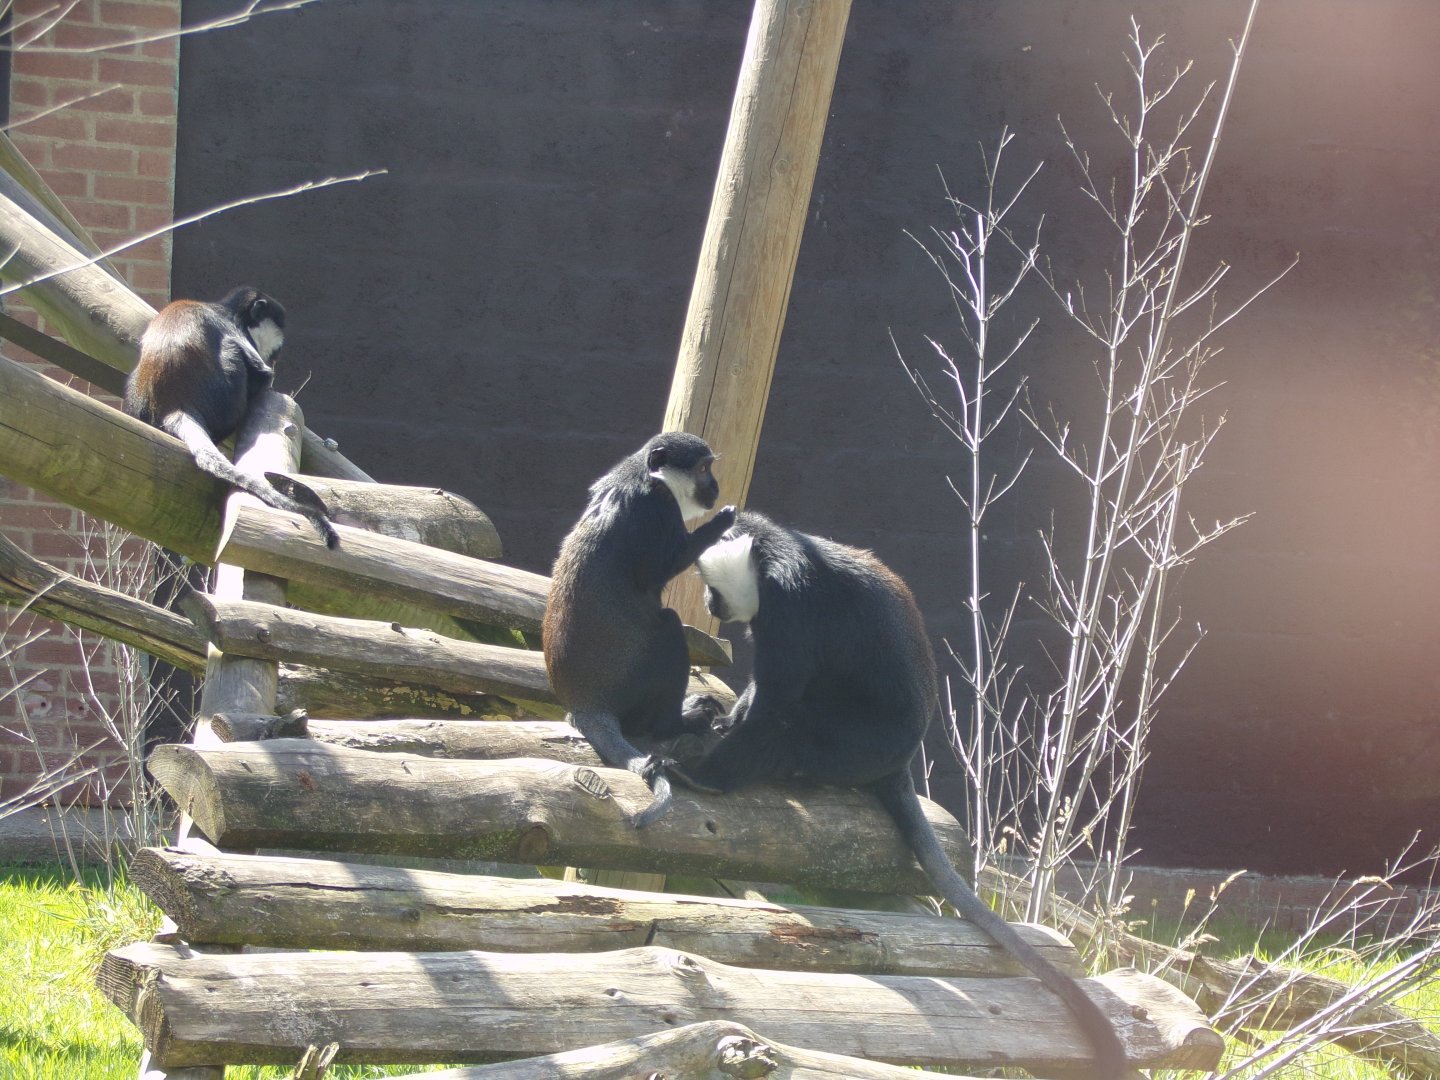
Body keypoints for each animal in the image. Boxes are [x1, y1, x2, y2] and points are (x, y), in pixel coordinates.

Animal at [124, 286, 338, 548]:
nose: (276, 354)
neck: (228, 309)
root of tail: (172, 404)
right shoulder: (234, 329)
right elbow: (261, 372)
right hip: (224, 398)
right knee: (234, 355)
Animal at [542, 432, 736, 827]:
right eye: (703, 468)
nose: (715, 486)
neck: (645, 474)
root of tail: (586, 705)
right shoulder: (655, 508)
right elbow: (661, 569)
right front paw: (722, 523)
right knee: (669, 625)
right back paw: (677, 723)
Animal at [678, 510, 1128, 1080]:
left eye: (712, 587)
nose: (711, 604)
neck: (767, 553)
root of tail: (899, 760)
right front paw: (715, 719)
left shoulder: (787, 605)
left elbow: (776, 700)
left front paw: (706, 761)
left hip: (853, 747)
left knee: (792, 727)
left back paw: (716, 774)